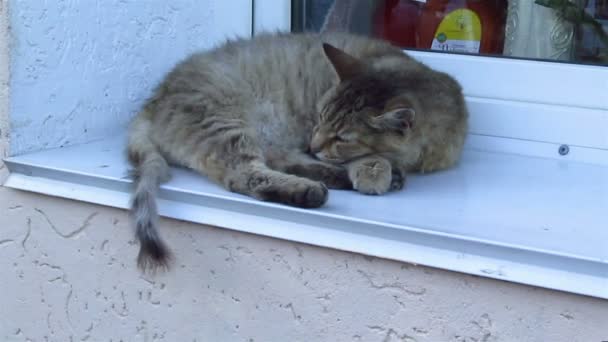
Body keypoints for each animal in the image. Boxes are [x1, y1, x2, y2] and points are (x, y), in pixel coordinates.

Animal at [128, 32, 468, 272]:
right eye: (319, 116)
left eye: (341, 137)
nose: (314, 144)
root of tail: (154, 100)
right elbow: (370, 158)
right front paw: (374, 170)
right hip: (226, 123)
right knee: (246, 175)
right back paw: (308, 191)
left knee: (280, 162)